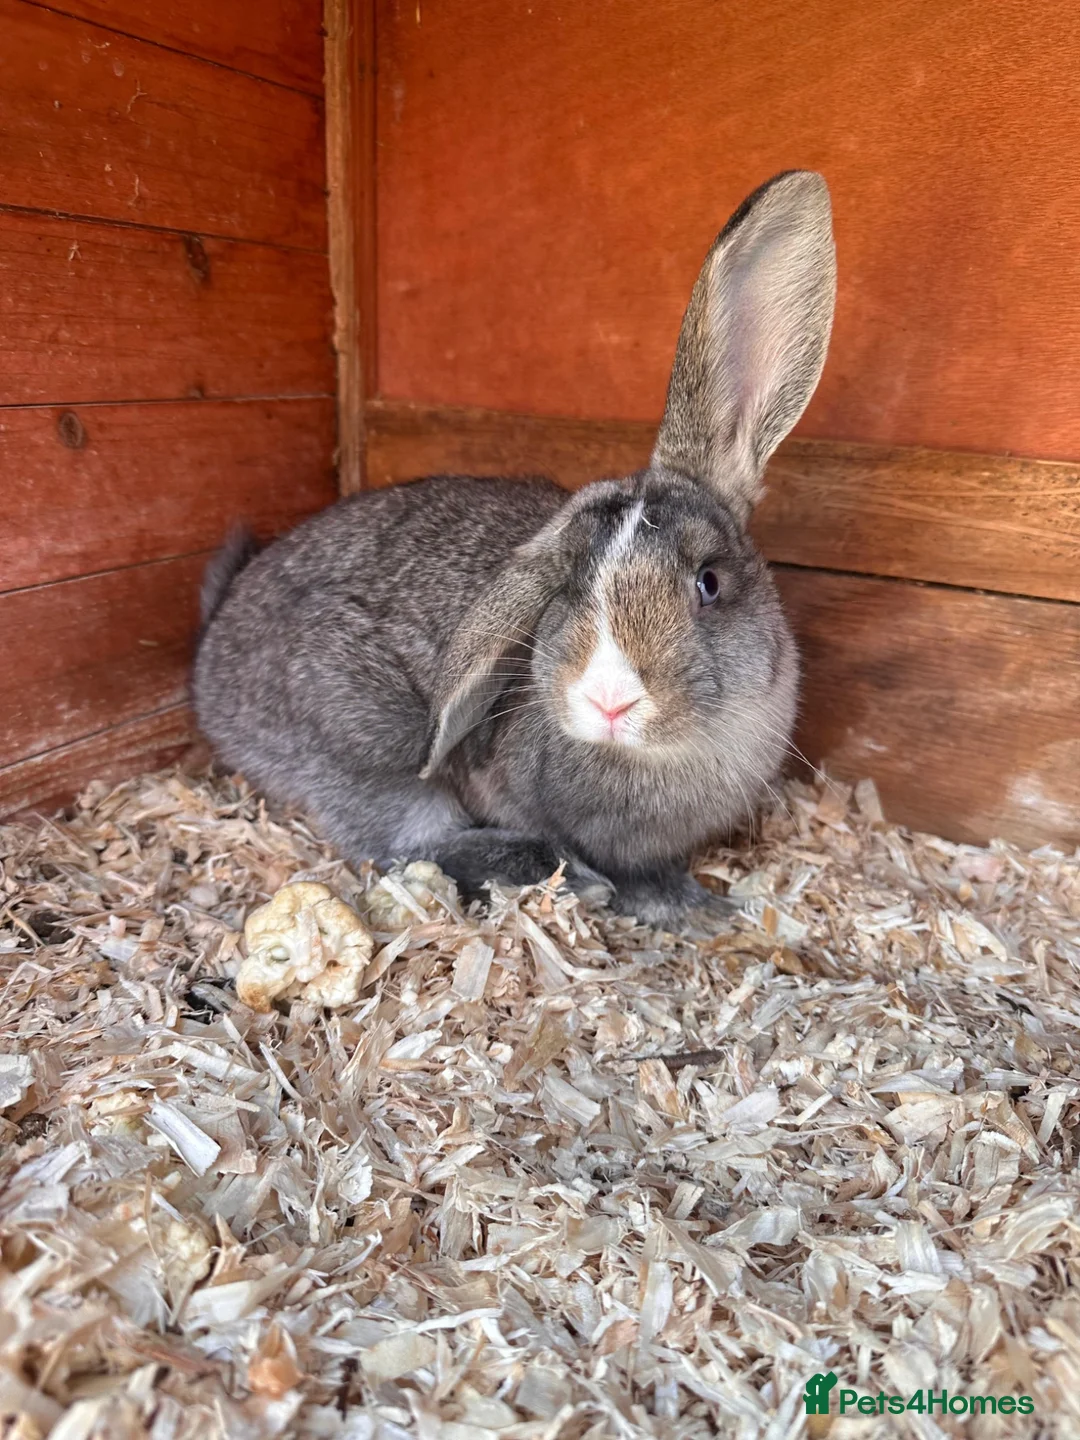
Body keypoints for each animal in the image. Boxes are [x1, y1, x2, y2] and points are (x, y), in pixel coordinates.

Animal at [193, 170, 836, 927]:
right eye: (568, 586)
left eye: (707, 582)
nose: (609, 701)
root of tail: (211, 661)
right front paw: (685, 905)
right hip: (364, 741)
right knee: (406, 845)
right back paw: (561, 875)